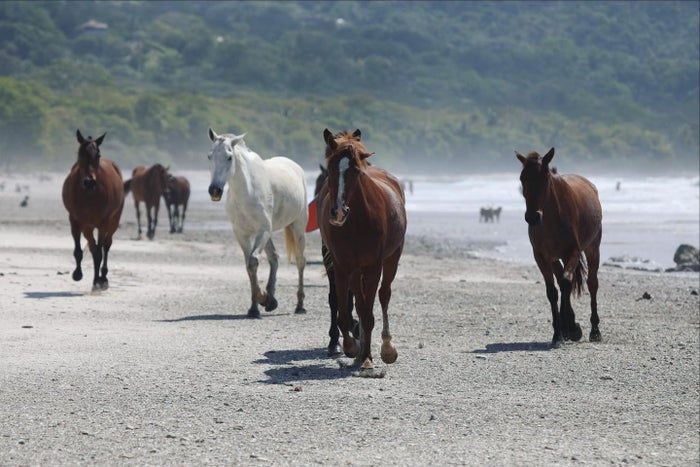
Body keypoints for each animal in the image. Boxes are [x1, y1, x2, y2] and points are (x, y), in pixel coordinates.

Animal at [62, 130, 125, 290]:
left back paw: (103, 277)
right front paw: (77, 274)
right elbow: (80, 251)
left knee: (106, 245)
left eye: (98, 155)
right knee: (93, 246)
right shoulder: (75, 221)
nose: (89, 182)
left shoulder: (103, 223)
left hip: (113, 221)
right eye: (80, 154)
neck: (88, 194)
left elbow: (100, 252)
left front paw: (98, 281)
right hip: (87, 226)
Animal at [207, 128, 307, 318]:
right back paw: (272, 300)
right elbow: (249, 265)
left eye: (229, 157)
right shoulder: (242, 234)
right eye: (209, 156)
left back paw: (300, 306)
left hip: (297, 226)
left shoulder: (262, 231)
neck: (246, 191)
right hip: (268, 234)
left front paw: (263, 299)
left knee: (300, 261)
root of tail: (296, 167)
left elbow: (253, 261)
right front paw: (257, 306)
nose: (214, 190)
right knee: (274, 258)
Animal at [318, 128, 407, 370]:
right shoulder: (341, 266)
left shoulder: (373, 266)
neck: (356, 221)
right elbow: (345, 311)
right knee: (359, 302)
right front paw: (352, 348)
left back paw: (387, 347)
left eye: (356, 171)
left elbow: (368, 313)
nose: (338, 212)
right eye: (330, 168)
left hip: (392, 258)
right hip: (355, 270)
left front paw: (367, 357)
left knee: (384, 295)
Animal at [516, 147, 602, 347]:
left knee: (591, 284)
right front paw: (559, 332)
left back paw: (594, 331)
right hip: (555, 258)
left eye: (545, 177)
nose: (532, 217)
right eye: (522, 178)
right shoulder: (541, 257)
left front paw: (568, 328)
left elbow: (565, 283)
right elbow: (553, 291)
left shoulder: (573, 252)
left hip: (593, 248)